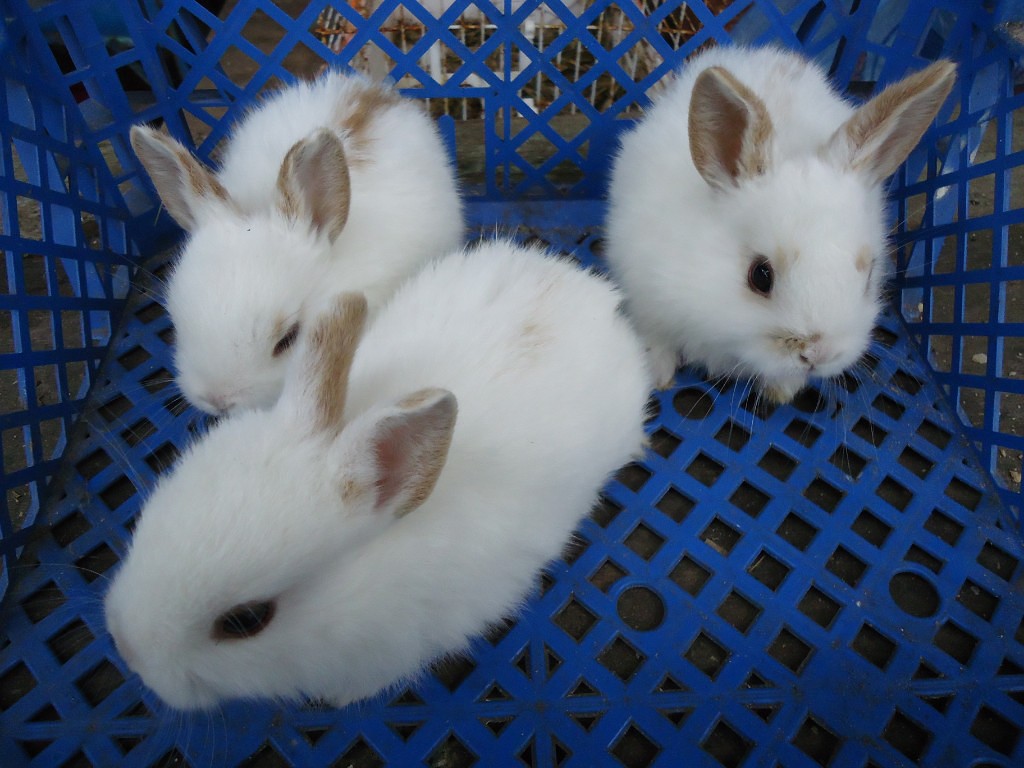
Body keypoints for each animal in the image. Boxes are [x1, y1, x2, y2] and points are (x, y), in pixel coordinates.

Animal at [605, 45, 956, 404]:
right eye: (760, 276)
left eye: (869, 276)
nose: (818, 355)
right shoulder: (647, 297)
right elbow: (656, 339)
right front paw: (657, 375)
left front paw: (783, 390)